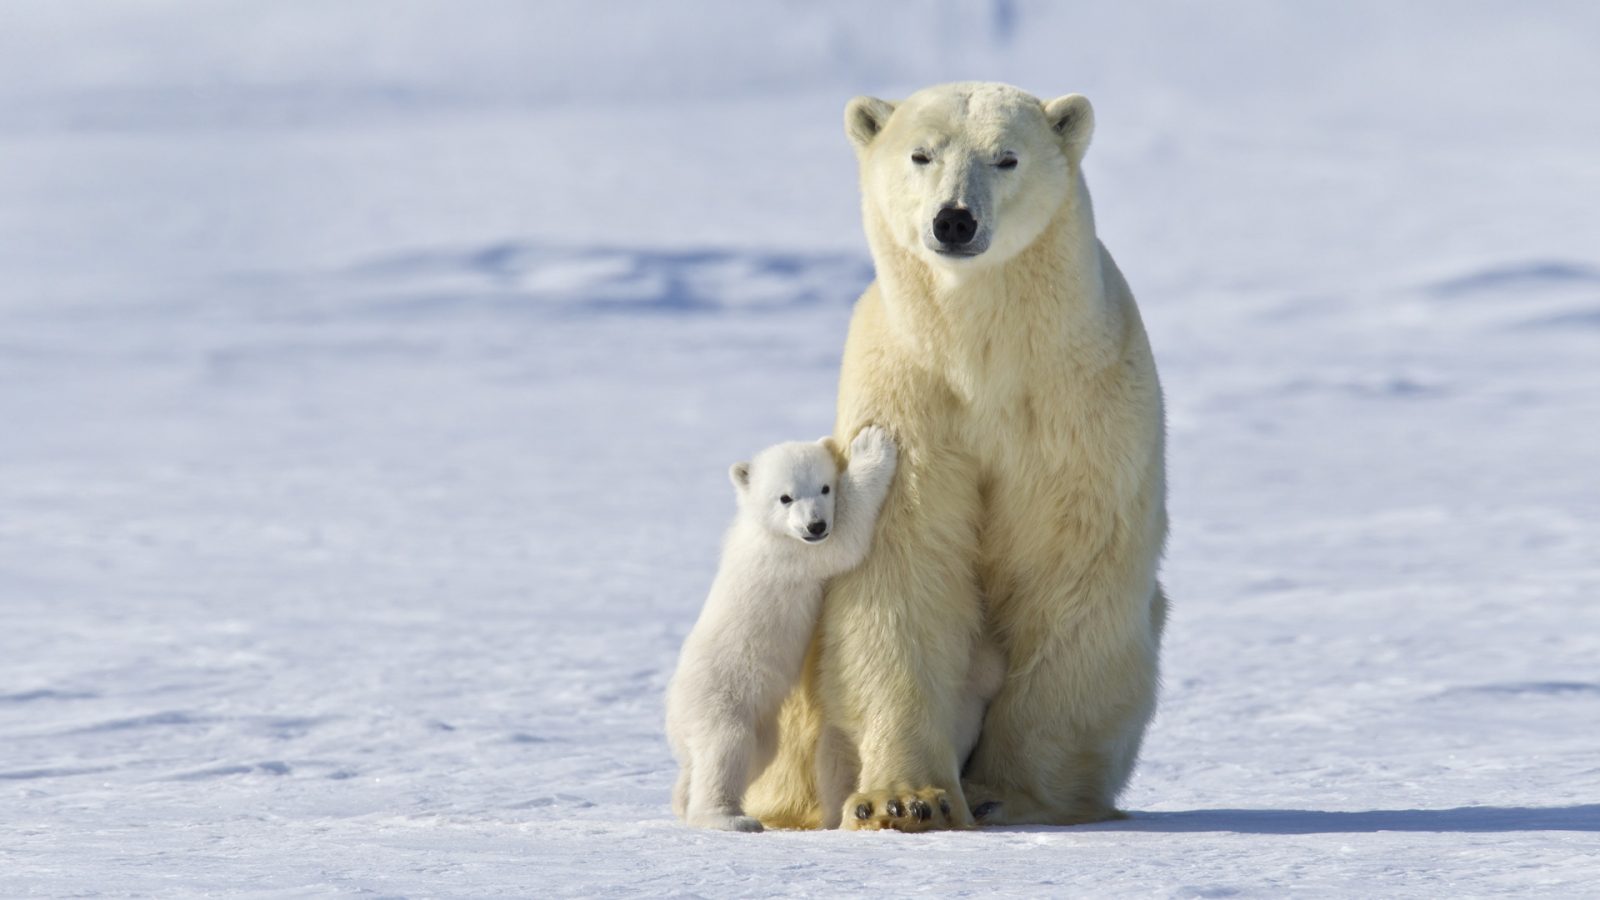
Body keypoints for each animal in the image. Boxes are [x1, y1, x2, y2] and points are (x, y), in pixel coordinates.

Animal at [742, 82, 1171, 826]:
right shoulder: (909, 401)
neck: (984, 358)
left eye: (1006, 157)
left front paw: (1010, 793)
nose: (954, 221)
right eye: (922, 154)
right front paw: (905, 800)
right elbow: (903, 570)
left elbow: (1071, 568)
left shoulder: (1079, 407)